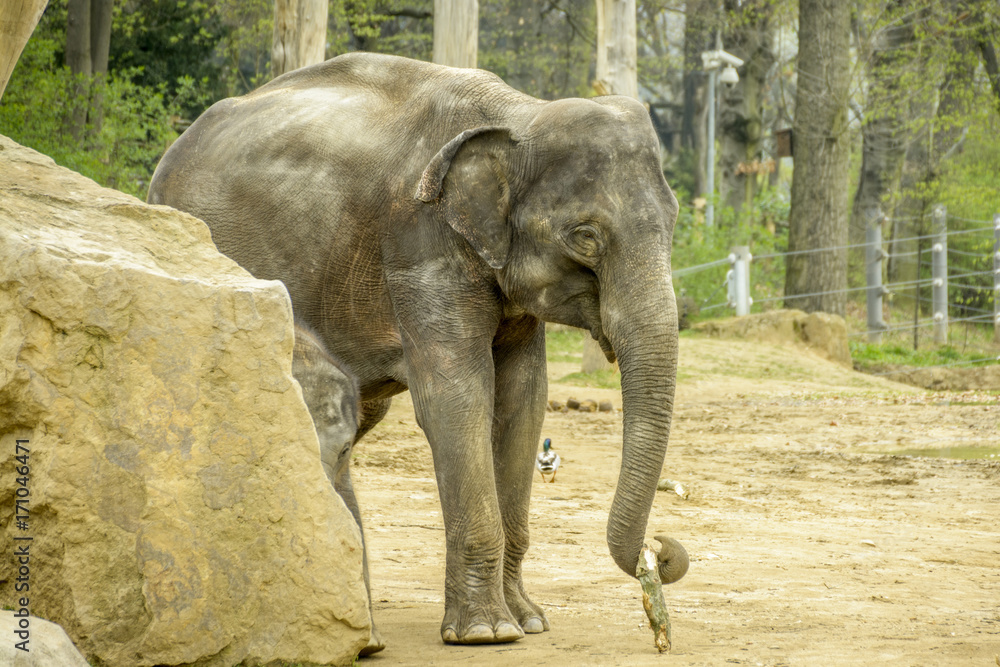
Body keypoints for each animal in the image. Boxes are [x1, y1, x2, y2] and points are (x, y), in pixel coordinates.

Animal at [148, 51, 688, 649]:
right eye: (586, 237)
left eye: (674, 221)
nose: (661, 550)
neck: (521, 114)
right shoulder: (419, 239)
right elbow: (458, 400)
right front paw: (486, 633)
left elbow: (522, 403)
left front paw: (529, 621)